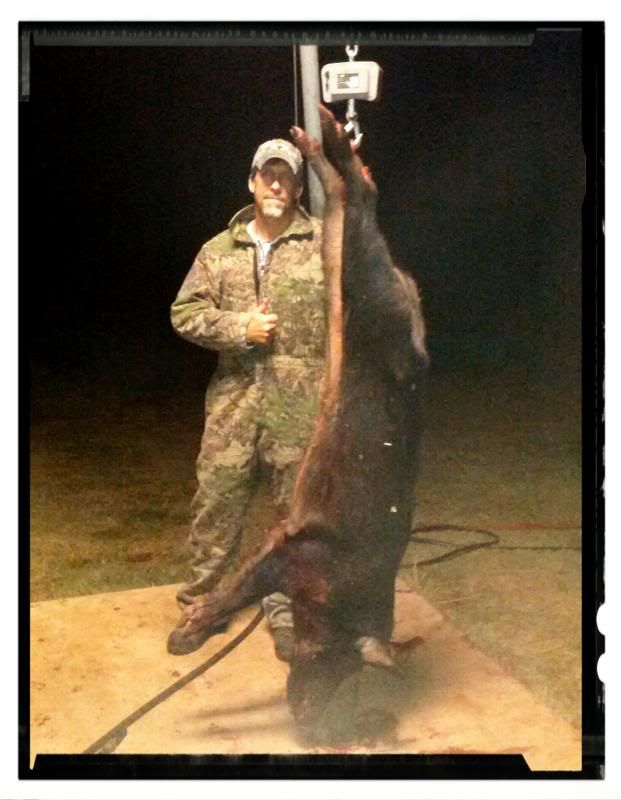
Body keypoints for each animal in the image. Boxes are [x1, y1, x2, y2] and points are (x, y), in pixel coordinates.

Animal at [167, 106, 429, 745]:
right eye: (336, 662)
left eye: (345, 679)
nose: (313, 728)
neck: (341, 596)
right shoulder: (297, 551)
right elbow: (242, 585)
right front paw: (195, 623)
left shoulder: (288, 543)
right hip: (368, 291)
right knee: (355, 194)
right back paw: (324, 132)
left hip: (352, 268)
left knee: (351, 197)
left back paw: (318, 139)